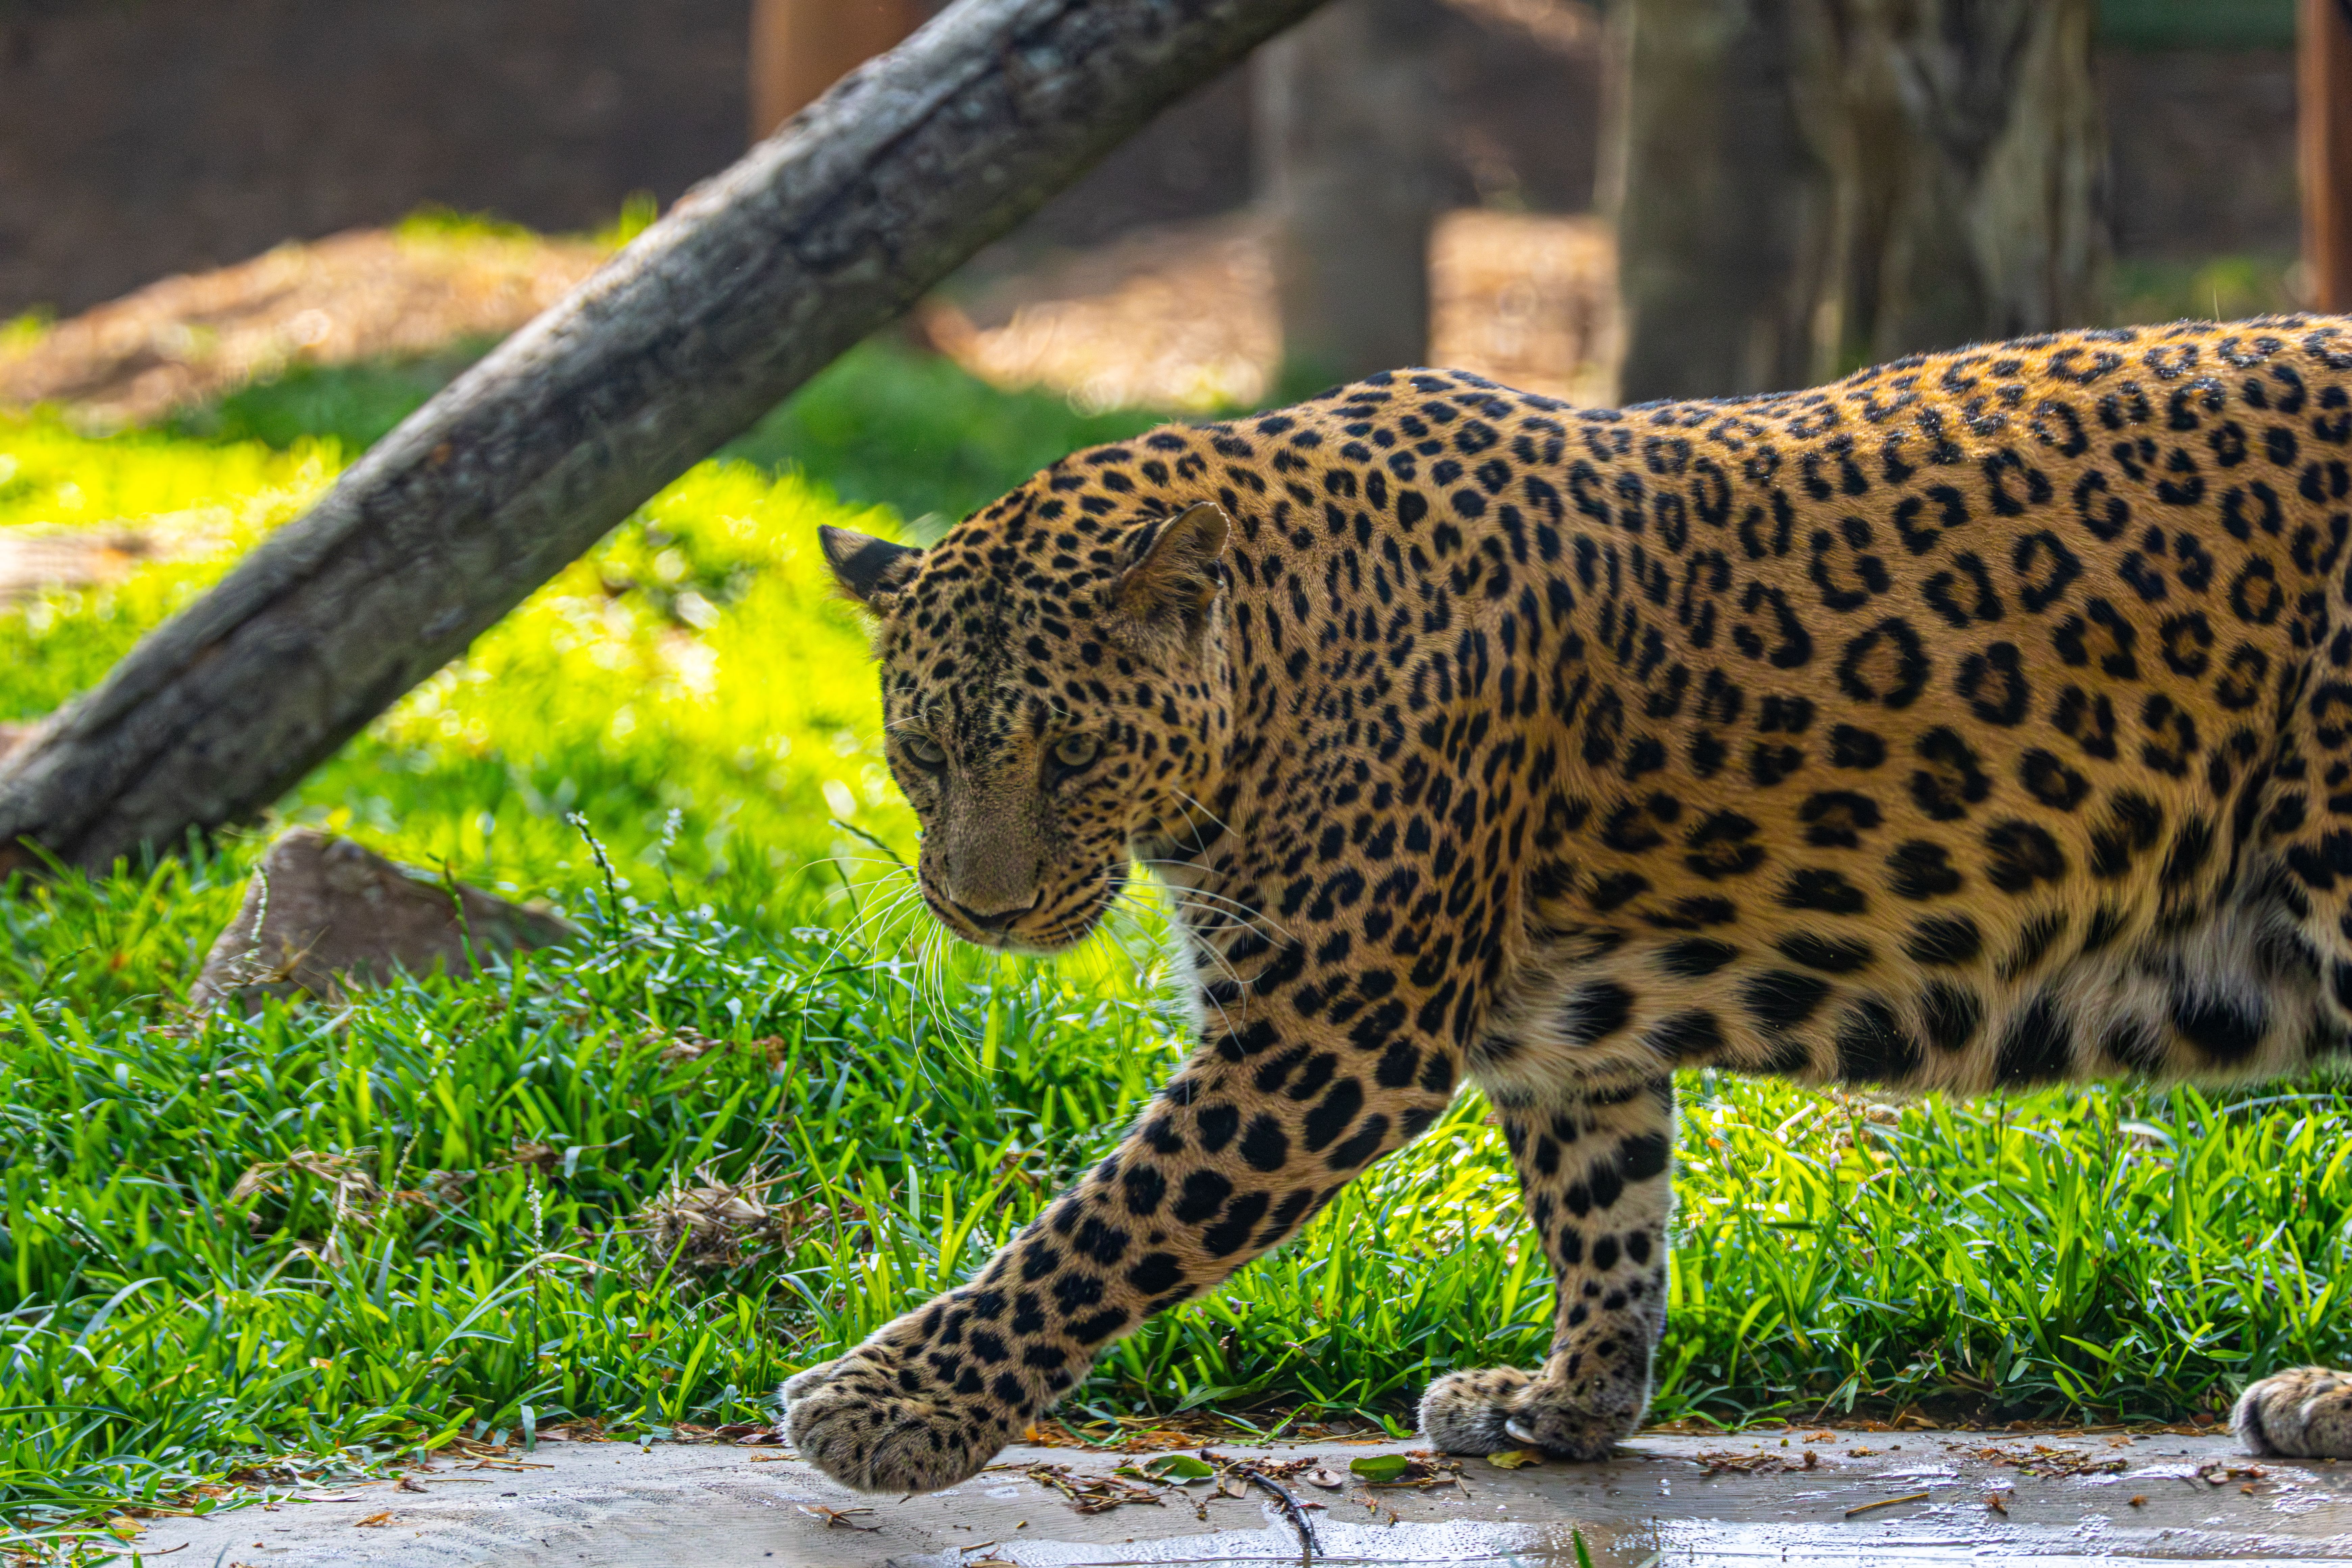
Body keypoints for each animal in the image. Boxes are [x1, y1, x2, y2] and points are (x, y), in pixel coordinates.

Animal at [784, 315, 2352, 1491]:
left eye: (1070, 749)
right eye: (920, 748)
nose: (981, 908)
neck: (1278, 653)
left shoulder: (1325, 1036)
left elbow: (1097, 1230)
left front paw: (888, 1404)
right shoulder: (1560, 1024)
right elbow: (1605, 1207)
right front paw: (1569, 1395)